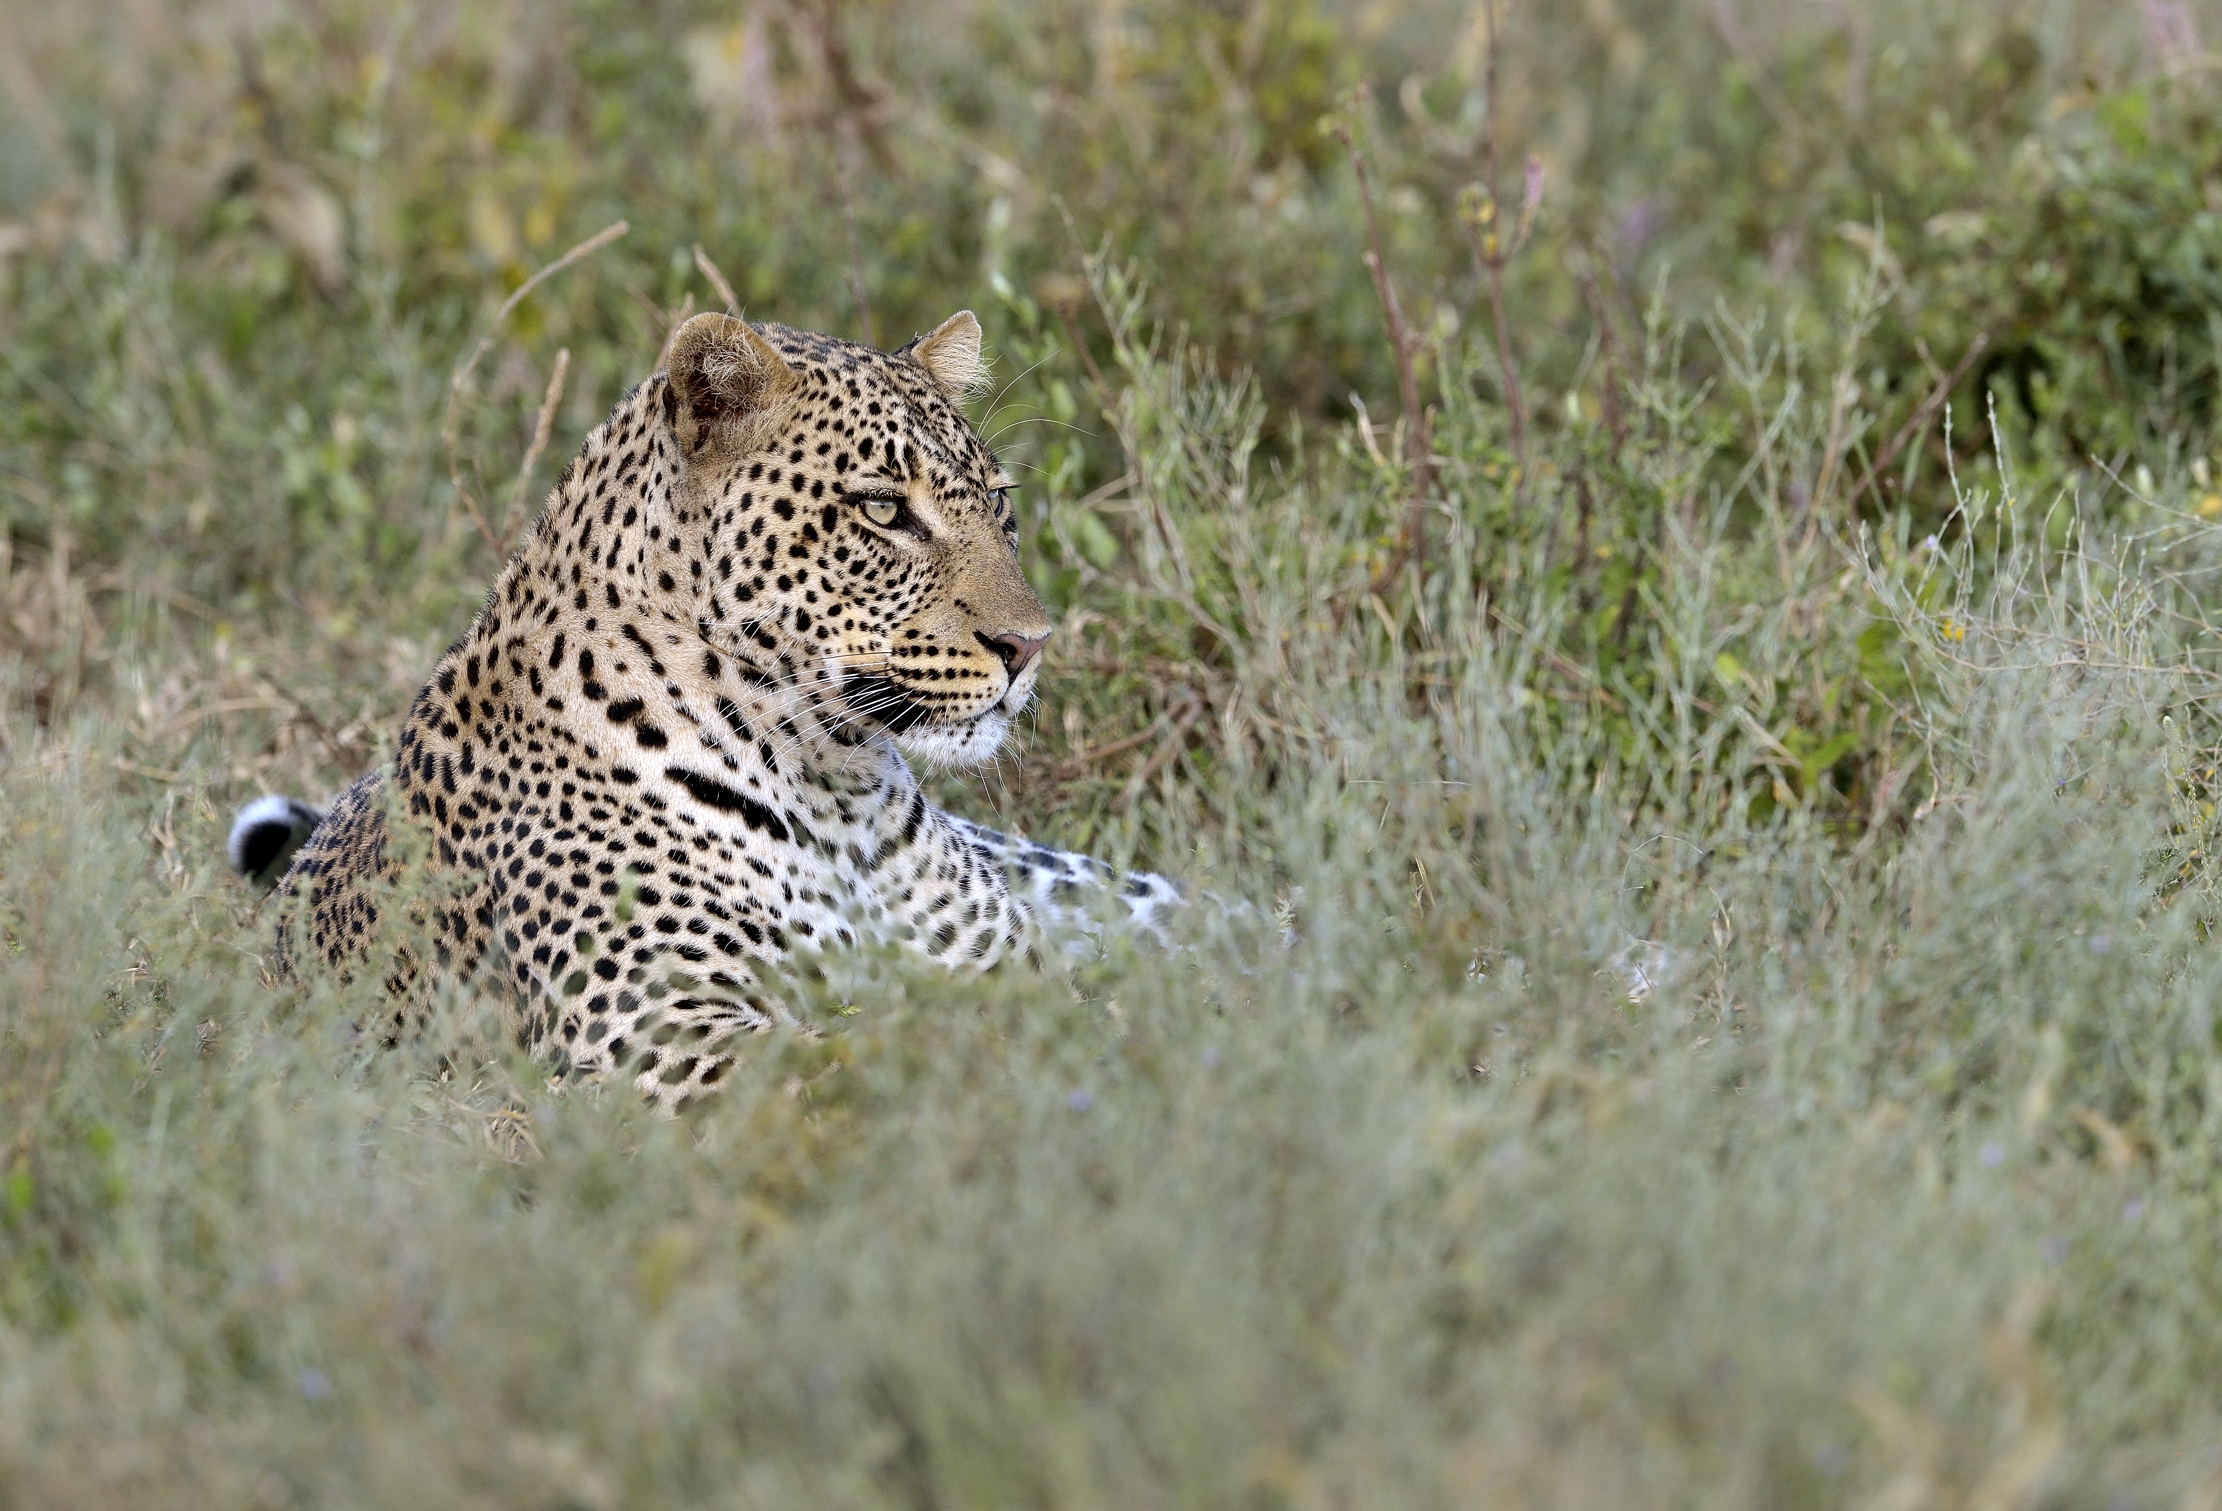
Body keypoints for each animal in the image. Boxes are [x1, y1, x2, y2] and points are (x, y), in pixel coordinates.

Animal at [230, 309, 1182, 1111]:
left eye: (1000, 505)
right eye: (883, 509)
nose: (1029, 645)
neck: (835, 788)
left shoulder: (1011, 965)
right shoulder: (656, 1034)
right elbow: (884, 1060)